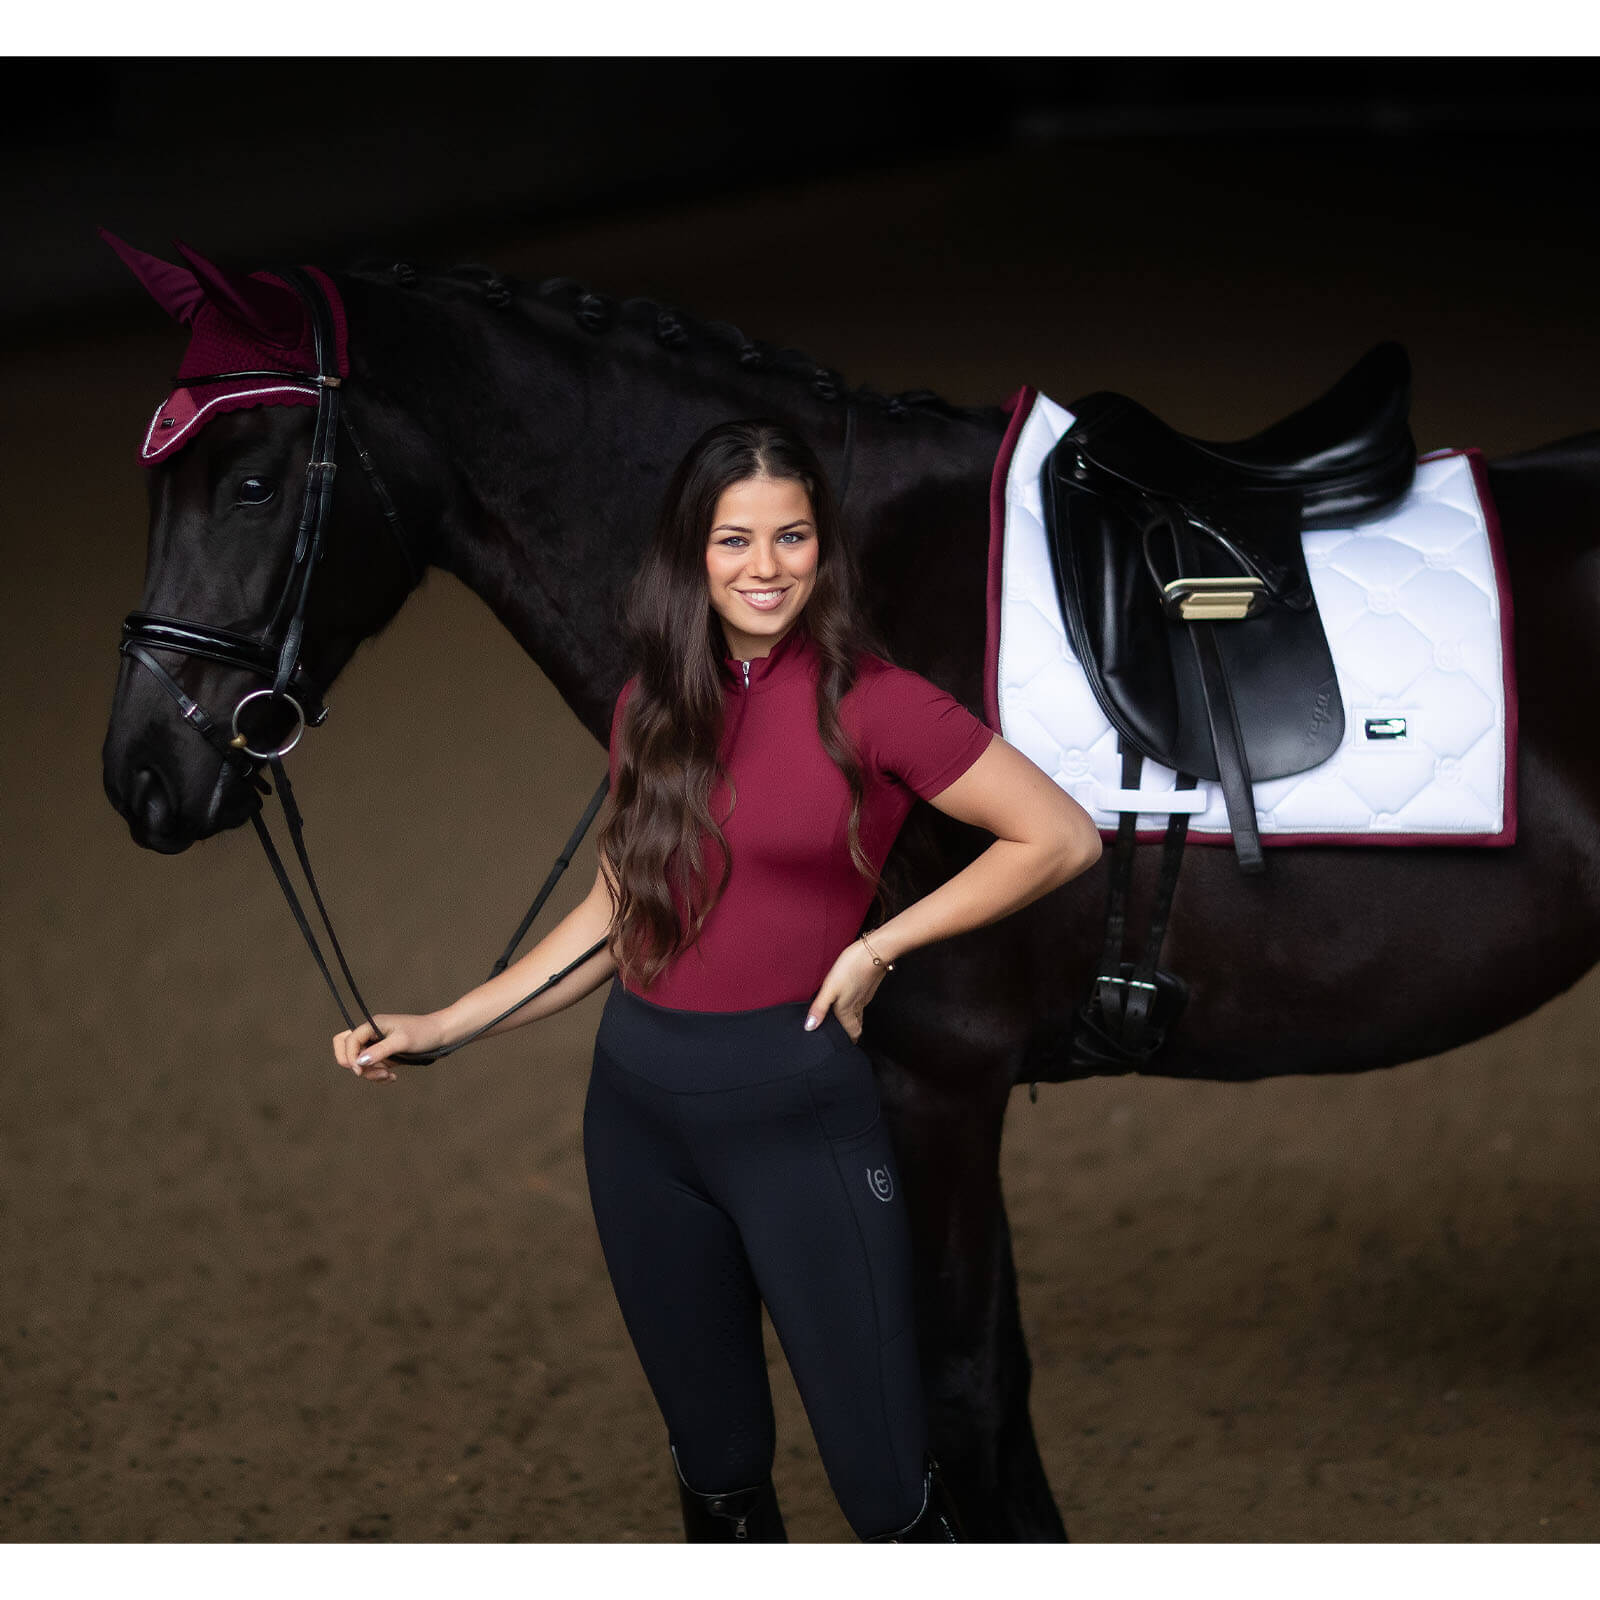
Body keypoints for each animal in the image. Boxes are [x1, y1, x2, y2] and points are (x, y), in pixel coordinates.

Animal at [99, 241, 1600, 1541]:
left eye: (249, 484)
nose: (143, 775)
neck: (850, 588)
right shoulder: (931, 1088)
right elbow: (982, 1399)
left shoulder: (932, 1078)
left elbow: (958, 1404)